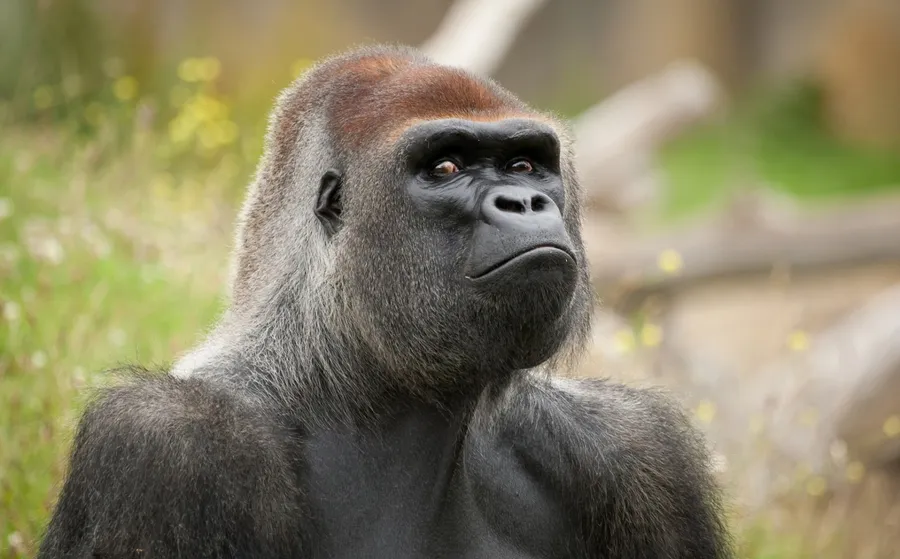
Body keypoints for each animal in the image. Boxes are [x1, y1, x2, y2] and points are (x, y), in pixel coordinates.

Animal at [38, 44, 734, 559]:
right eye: (446, 167)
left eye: (526, 165)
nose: (525, 201)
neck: (342, 380)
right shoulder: (165, 446)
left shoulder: (635, 447)